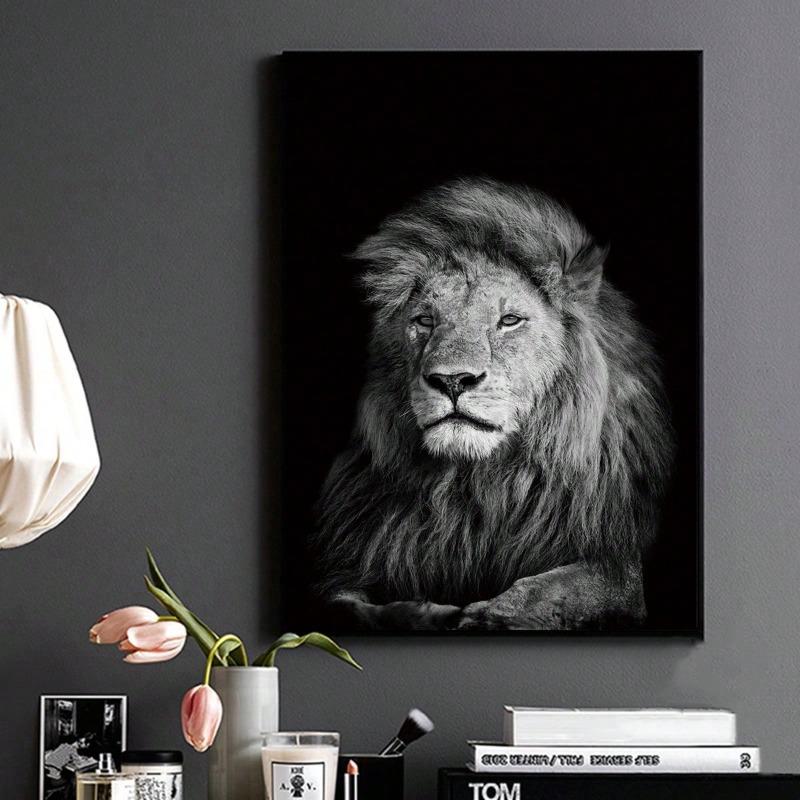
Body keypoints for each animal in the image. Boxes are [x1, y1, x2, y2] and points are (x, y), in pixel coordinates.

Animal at [311, 178, 674, 631]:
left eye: (509, 321)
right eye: (425, 320)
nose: (452, 380)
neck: (477, 486)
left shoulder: (618, 567)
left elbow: (547, 589)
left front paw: (485, 616)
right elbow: (347, 607)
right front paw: (422, 614)